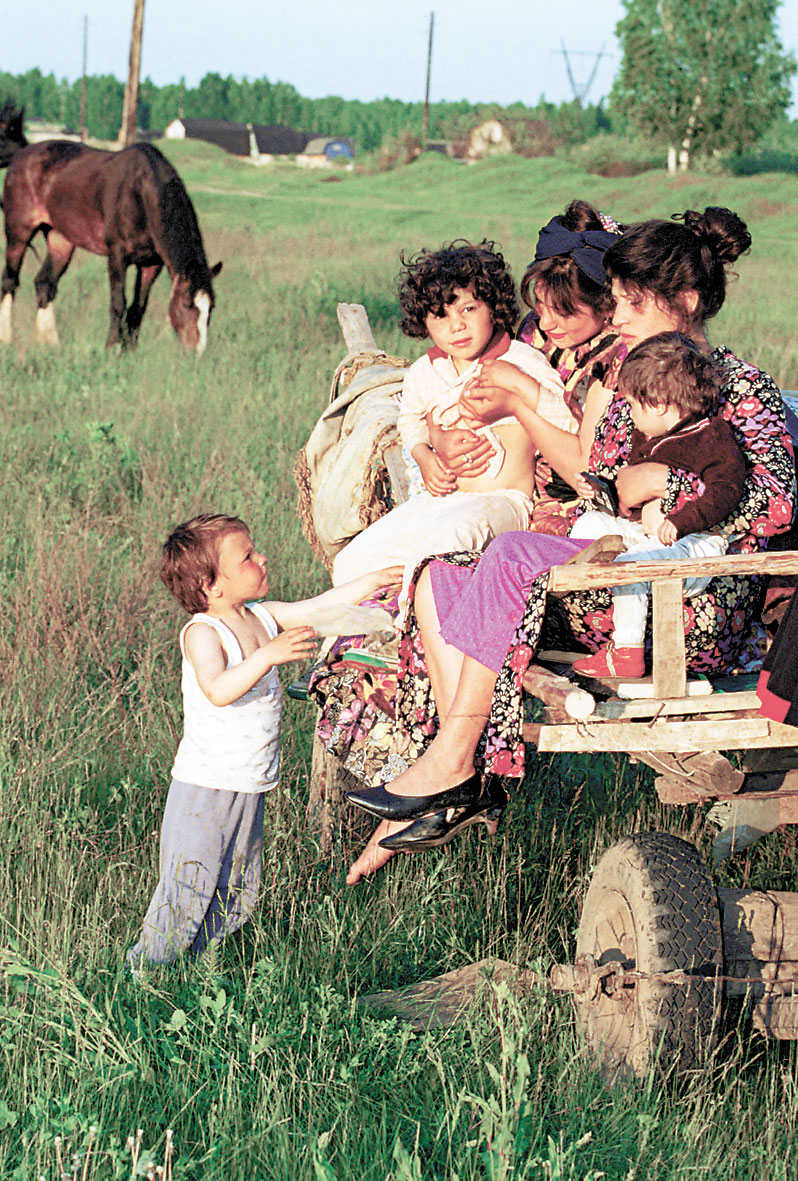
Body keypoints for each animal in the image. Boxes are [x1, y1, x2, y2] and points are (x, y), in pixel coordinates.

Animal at [0, 106, 220, 349]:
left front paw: (130, 351)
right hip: (18, 231)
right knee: (9, 281)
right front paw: (111, 347)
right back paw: (7, 337)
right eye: (186, 304)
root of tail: (22, 153)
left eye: (211, 307)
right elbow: (118, 303)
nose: (196, 352)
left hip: (60, 239)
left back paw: (50, 343)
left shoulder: (151, 265)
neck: (140, 192)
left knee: (44, 284)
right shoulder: (117, 256)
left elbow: (137, 308)